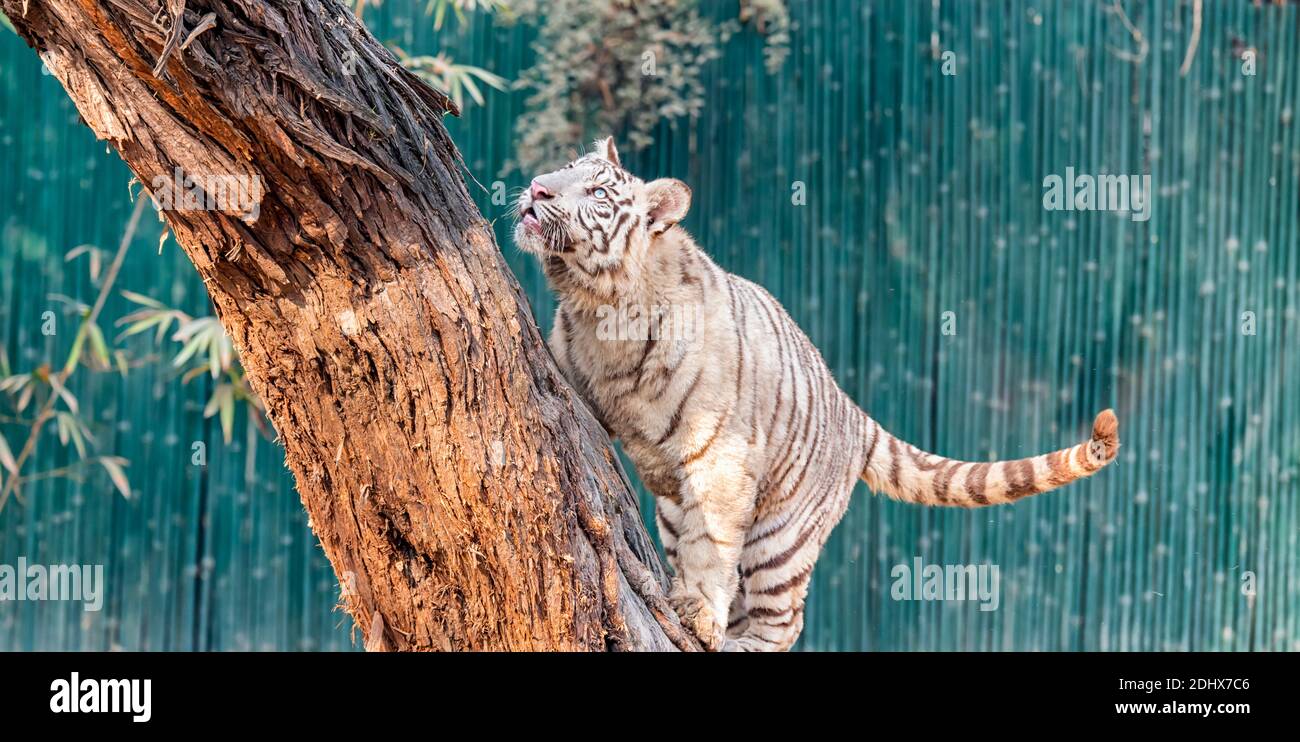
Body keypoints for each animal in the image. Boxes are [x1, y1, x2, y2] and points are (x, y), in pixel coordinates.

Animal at [513, 137, 1121, 651]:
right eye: (567, 167)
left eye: (597, 193)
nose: (538, 188)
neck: (599, 307)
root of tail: (852, 410)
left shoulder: (720, 457)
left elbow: (711, 544)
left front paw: (697, 614)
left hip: (780, 538)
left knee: (781, 621)